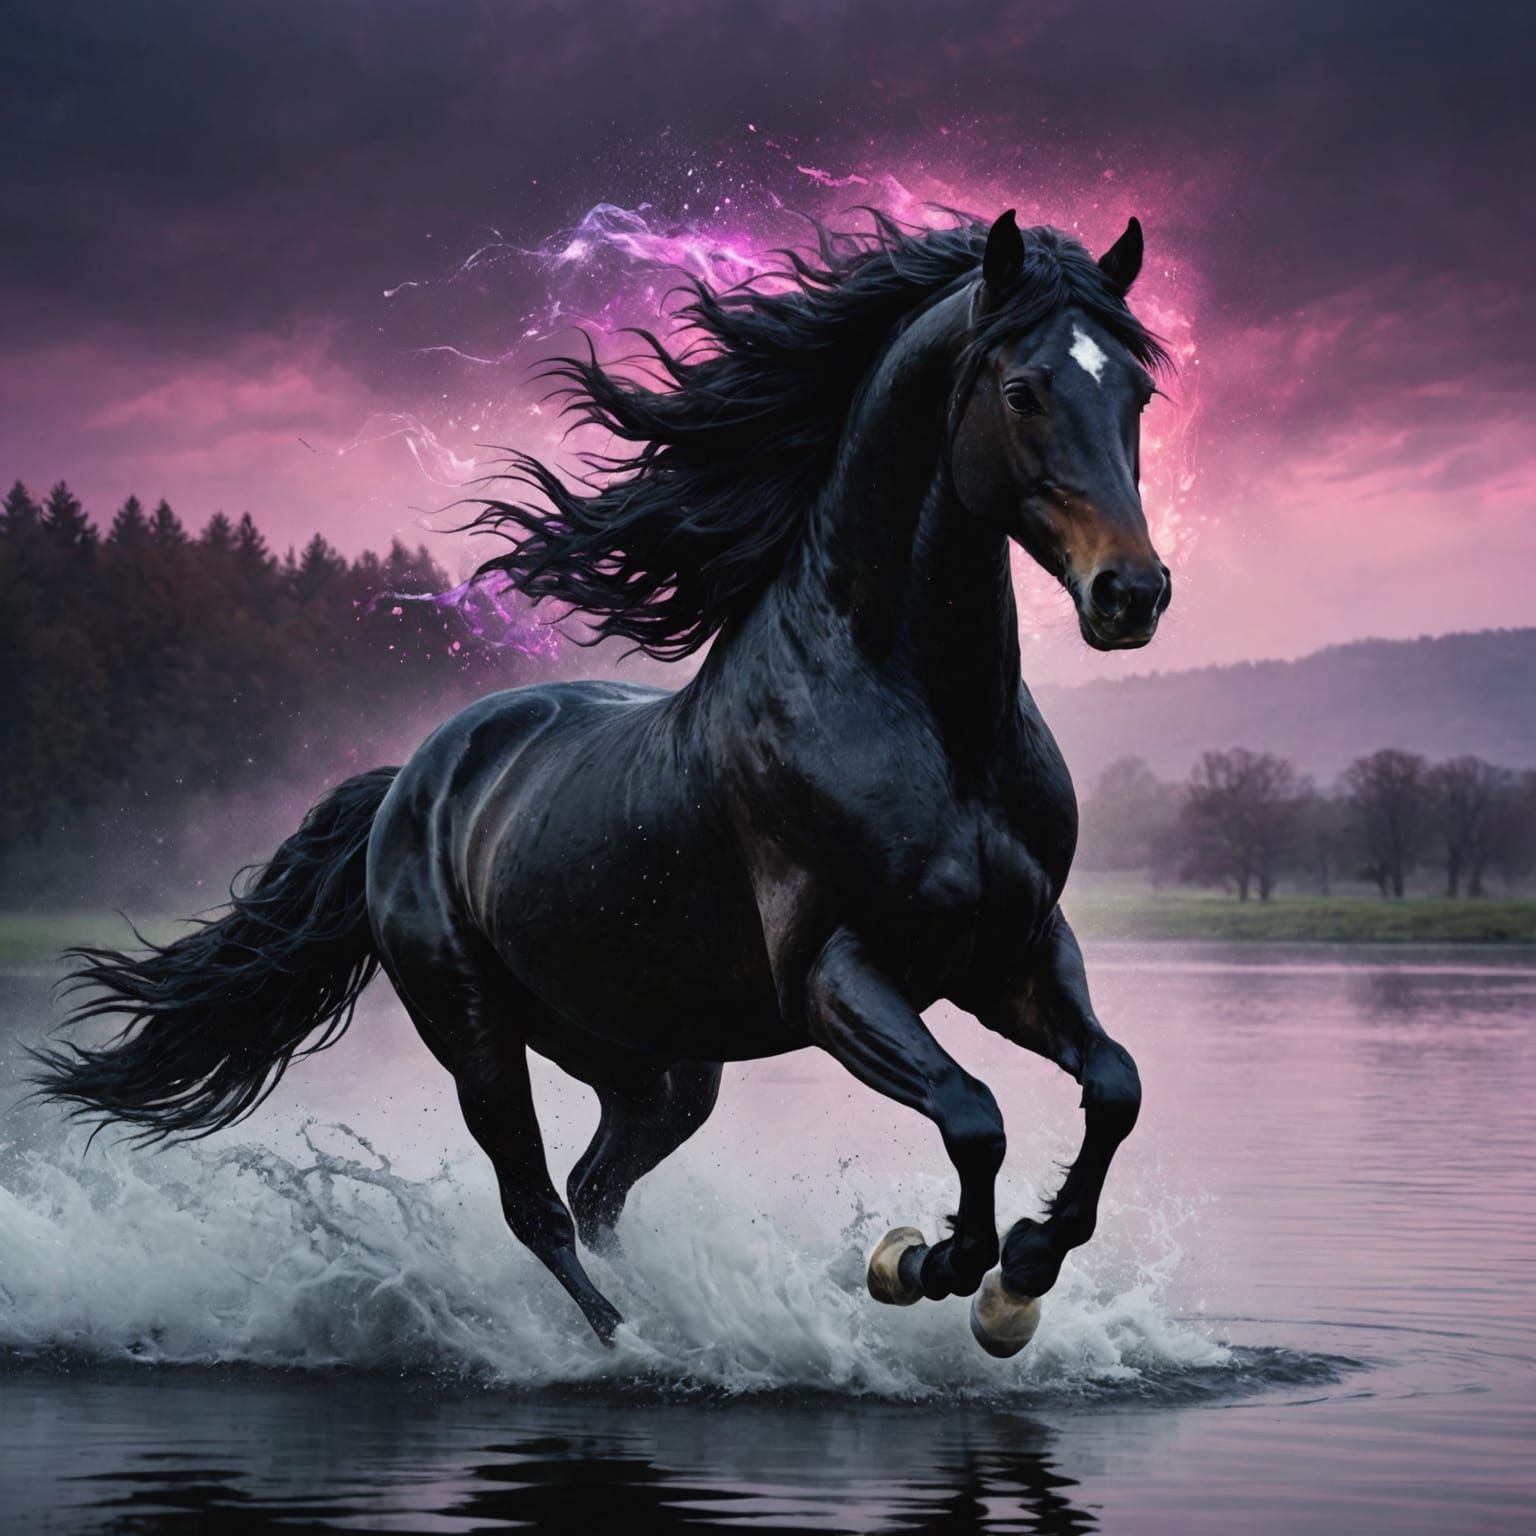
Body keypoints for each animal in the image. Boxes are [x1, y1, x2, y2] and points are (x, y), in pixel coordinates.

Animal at [33, 209, 1172, 1357]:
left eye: (1137, 392)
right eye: (1023, 390)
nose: (1131, 592)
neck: (933, 722)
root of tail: (410, 783)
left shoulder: (1014, 951)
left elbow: (1115, 1086)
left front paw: (1020, 1274)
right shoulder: (835, 975)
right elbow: (973, 1112)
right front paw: (931, 1266)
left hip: (653, 1065)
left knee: (595, 1189)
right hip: (477, 1035)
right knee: (539, 1206)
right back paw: (632, 1342)